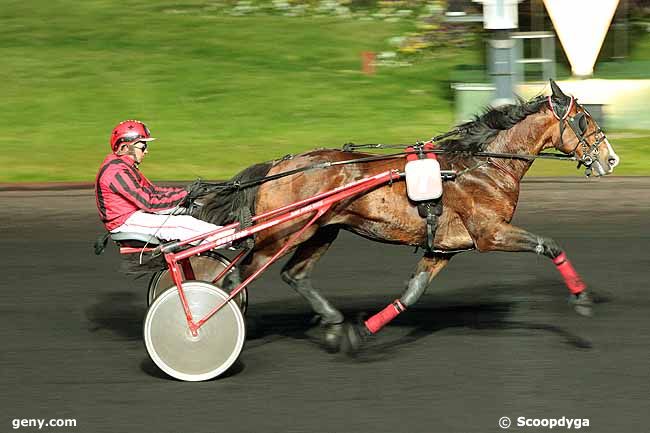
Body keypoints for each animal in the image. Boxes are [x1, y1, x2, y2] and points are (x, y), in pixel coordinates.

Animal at [196, 79, 616, 352]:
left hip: (321, 232)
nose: (610, 158)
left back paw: (332, 322)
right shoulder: (491, 233)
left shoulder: (443, 248)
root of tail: (277, 166)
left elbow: (412, 293)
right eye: (584, 120)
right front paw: (581, 298)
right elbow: (549, 244)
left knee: (293, 274)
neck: (481, 165)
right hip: (283, 233)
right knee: (237, 274)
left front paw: (361, 332)